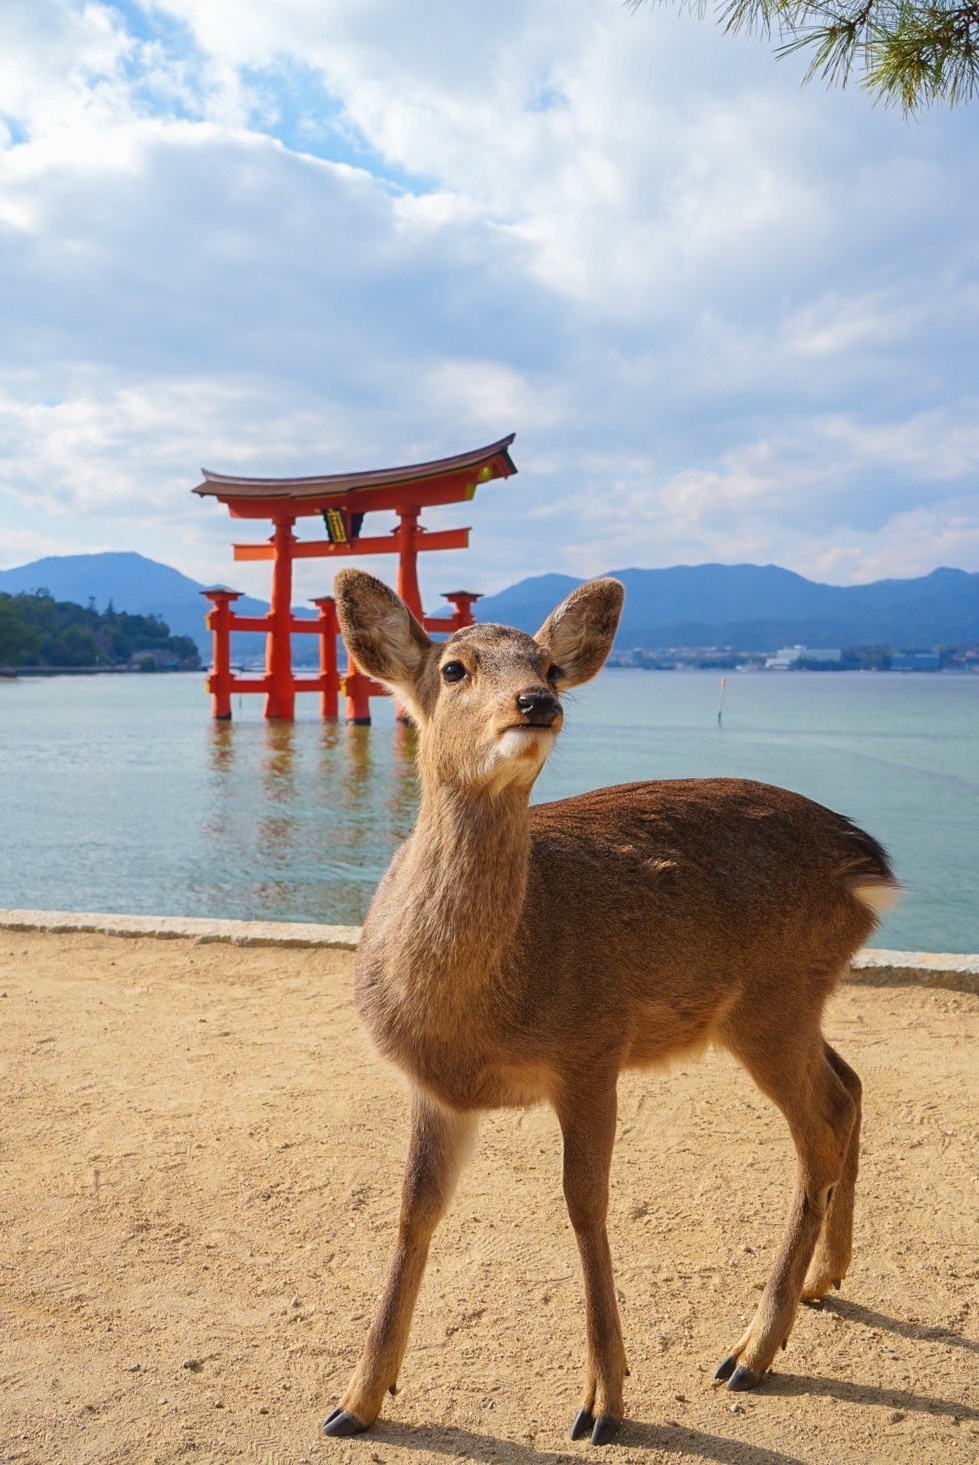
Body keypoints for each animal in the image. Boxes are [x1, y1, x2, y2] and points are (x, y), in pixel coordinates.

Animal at [320, 568, 896, 1441]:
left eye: (547, 667)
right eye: (453, 667)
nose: (535, 702)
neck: (478, 1011)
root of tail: (868, 864)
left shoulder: (590, 1048)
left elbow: (583, 1203)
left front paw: (603, 1402)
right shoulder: (434, 1084)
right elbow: (414, 1209)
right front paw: (355, 1399)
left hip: (774, 996)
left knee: (821, 1123)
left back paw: (750, 1351)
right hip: (790, 1000)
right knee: (851, 1084)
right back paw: (823, 1279)